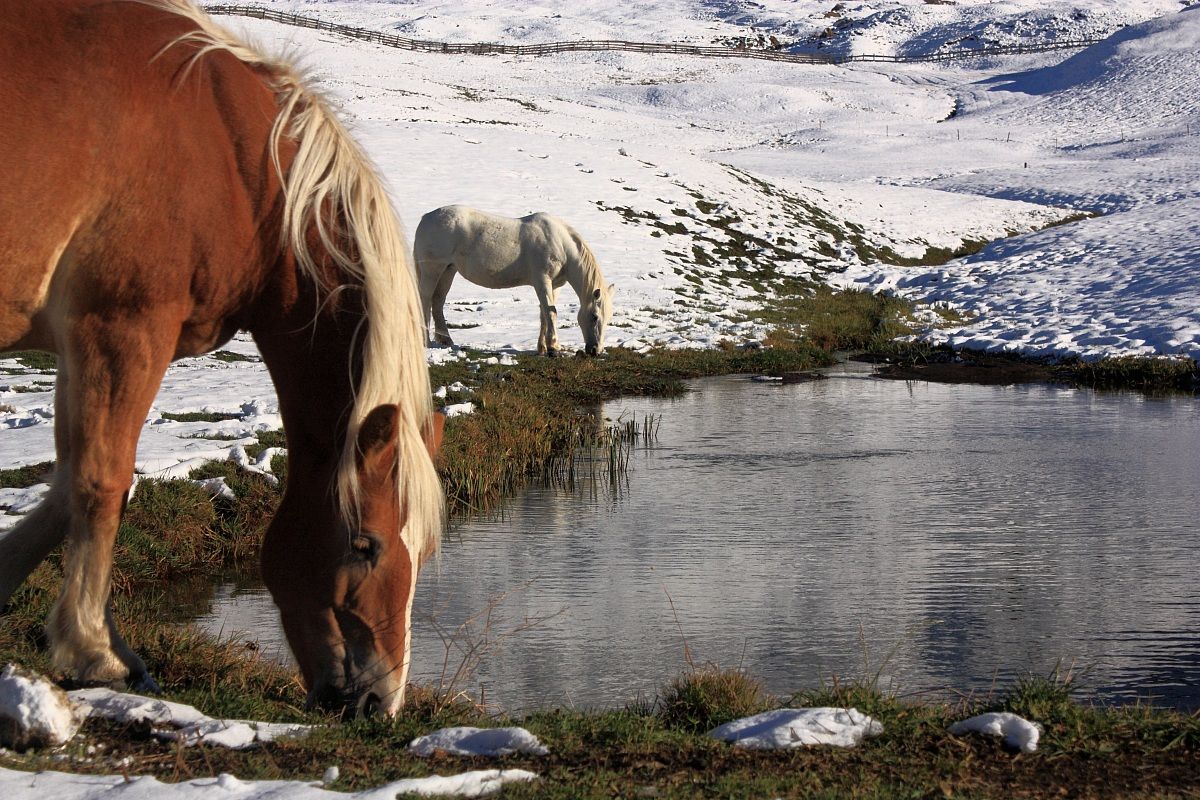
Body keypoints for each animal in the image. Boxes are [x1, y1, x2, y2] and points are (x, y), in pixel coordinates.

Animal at [0, 0, 444, 718]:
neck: (237, 161)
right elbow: (100, 481)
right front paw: (94, 651)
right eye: (366, 545)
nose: (380, 702)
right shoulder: (123, 327)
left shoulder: (79, 343)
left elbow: (64, 489)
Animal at [414, 205, 617, 356]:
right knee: (425, 298)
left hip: (449, 270)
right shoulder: (542, 280)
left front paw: (543, 348)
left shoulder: (554, 285)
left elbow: (545, 313)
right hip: (433, 269)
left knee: (437, 301)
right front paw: (553, 347)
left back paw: (446, 340)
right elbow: (551, 312)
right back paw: (425, 340)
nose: (595, 351)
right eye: (594, 316)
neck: (561, 243)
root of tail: (426, 218)